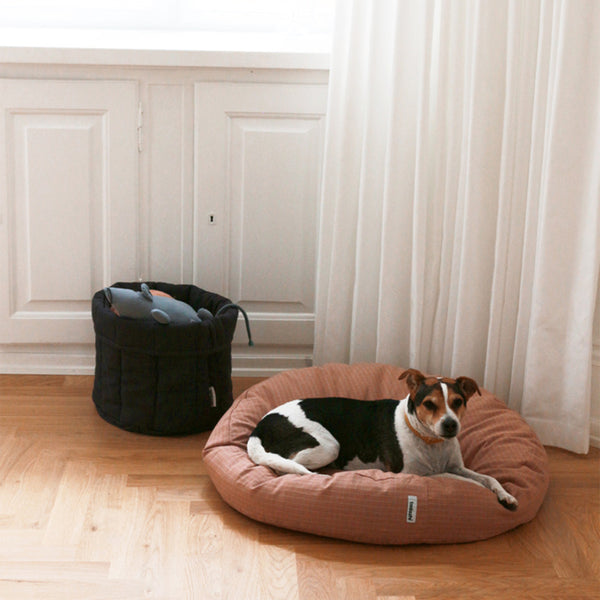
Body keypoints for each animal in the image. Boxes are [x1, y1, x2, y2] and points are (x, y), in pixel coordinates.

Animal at [246, 368, 516, 508]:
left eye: (458, 402)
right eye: (429, 404)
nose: (450, 425)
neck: (431, 442)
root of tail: (260, 426)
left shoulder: (457, 466)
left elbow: (487, 477)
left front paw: (505, 494)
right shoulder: (410, 474)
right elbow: (464, 481)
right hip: (329, 446)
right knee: (286, 467)